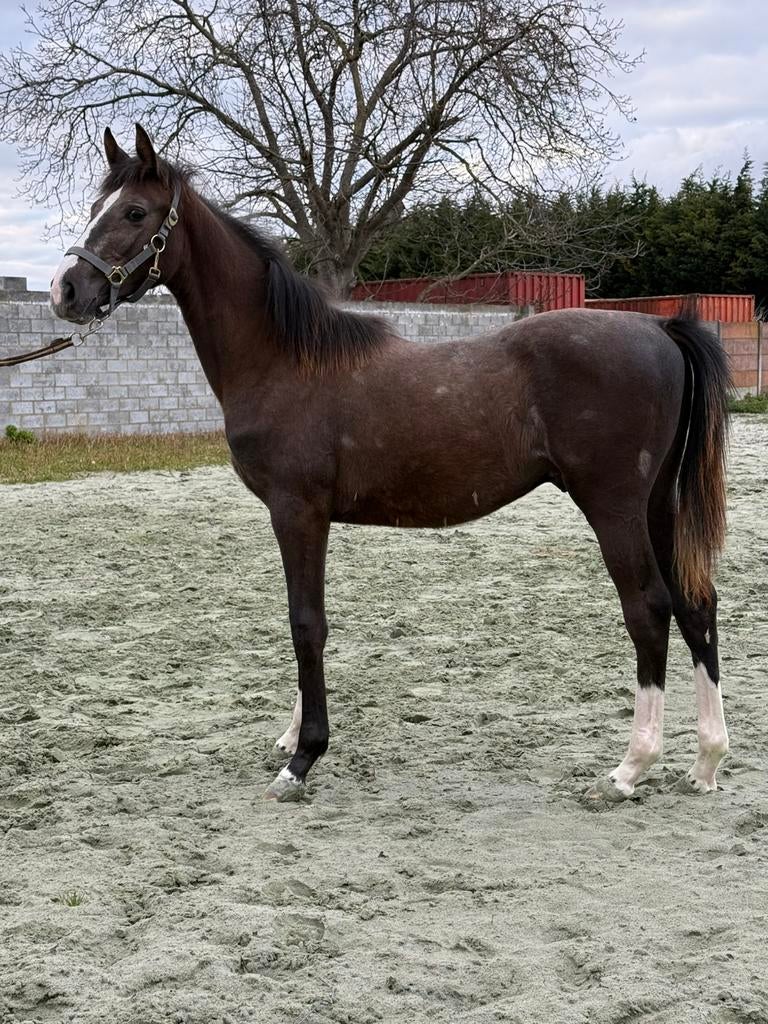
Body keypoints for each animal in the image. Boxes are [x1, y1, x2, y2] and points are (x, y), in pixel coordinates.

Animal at [49, 125, 731, 804]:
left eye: (135, 213)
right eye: (97, 207)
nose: (67, 291)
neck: (283, 359)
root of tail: (661, 330)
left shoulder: (296, 511)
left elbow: (305, 623)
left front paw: (303, 759)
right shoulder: (308, 517)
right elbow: (306, 617)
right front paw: (293, 737)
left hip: (614, 507)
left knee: (649, 609)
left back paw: (631, 767)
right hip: (658, 506)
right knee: (695, 603)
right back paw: (705, 761)